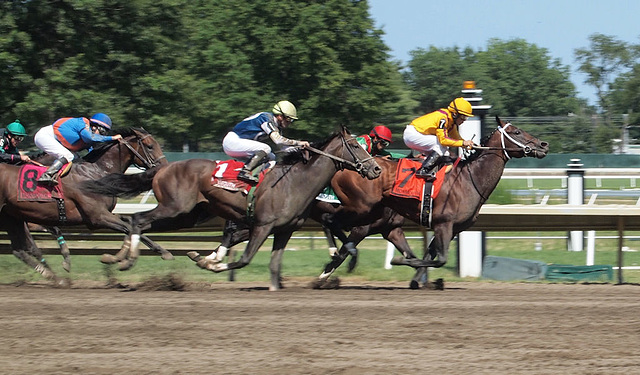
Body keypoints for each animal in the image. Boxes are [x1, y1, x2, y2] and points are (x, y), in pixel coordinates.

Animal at [0, 128, 168, 284]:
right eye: (150, 146)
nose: (165, 168)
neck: (96, 173)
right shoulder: (97, 217)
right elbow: (129, 228)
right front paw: (120, 259)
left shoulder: (105, 213)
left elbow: (132, 225)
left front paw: (162, 251)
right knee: (25, 249)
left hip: (11, 217)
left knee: (20, 250)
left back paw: (55, 277)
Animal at [79, 126, 380, 290]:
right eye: (356, 146)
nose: (376, 169)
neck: (294, 182)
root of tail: (163, 168)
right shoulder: (262, 226)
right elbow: (244, 258)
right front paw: (210, 264)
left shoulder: (284, 230)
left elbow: (273, 265)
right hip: (175, 208)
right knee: (138, 219)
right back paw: (126, 260)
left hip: (190, 215)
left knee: (137, 221)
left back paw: (120, 258)